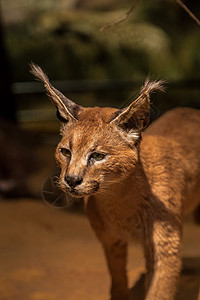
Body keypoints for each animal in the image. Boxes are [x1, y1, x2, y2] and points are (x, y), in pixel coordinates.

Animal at [30, 62, 200, 298]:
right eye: (65, 152)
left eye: (98, 156)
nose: (71, 179)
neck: (117, 198)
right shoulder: (111, 241)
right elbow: (118, 282)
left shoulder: (165, 247)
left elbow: (159, 292)